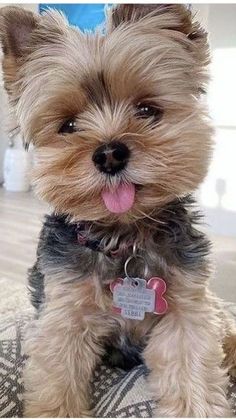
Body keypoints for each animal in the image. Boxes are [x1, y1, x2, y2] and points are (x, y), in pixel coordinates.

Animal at [0, 4, 236, 418]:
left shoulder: (187, 310)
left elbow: (191, 370)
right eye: (68, 125)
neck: (124, 237)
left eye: (147, 110)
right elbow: (57, 381)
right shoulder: (64, 315)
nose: (109, 153)